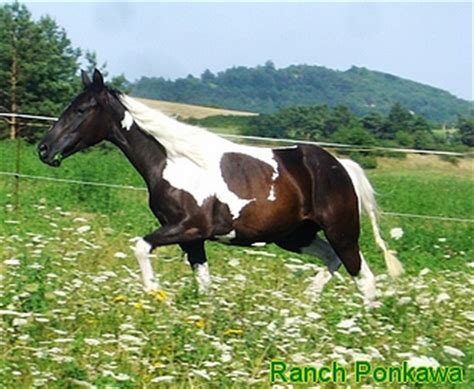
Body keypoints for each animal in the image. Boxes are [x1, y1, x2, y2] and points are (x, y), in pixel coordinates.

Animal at [38, 69, 404, 304]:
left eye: (82, 110)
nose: (44, 149)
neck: (175, 161)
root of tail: (340, 167)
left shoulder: (189, 227)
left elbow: (141, 246)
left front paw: (154, 292)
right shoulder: (193, 240)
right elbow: (204, 284)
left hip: (342, 232)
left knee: (363, 276)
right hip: (294, 236)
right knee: (333, 260)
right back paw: (309, 300)